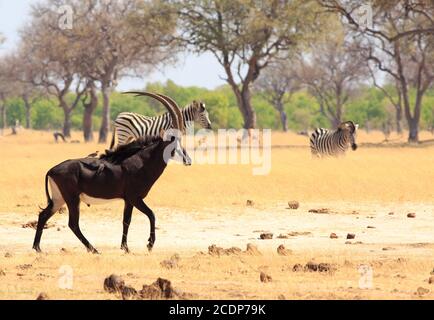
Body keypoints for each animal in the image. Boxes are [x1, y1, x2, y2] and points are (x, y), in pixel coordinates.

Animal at [33, 93, 189, 255]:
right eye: (173, 143)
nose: (188, 160)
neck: (141, 161)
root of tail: (52, 170)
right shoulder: (135, 198)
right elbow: (151, 214)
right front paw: (149, 245)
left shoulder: (128, 200)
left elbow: (126, 221)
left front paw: (125, 247)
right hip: (72, 199)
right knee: (73, 224)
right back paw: (93, 249)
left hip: (59, 199)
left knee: (44, 215)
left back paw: (38, 248)